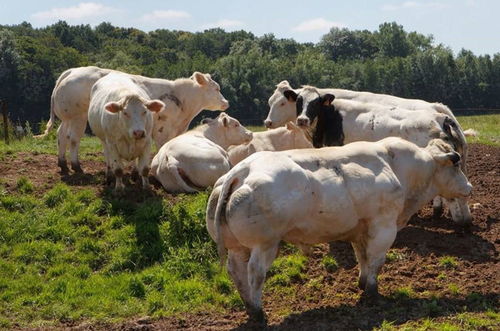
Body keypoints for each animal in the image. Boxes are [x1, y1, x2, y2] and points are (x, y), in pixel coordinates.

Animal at [36, 66, 229, 172]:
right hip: (78, 117)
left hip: (67, 118)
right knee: (73, 139)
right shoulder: (161, 130)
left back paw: (62, 164)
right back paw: (76, 166)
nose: (226, 102)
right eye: (217, 89)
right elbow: (160, 149)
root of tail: (72, 71)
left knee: (61, 136)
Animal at [207, 137, 472, 322]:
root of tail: (241, 170)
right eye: (456, 164)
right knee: (255, 273)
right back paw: (259, 312)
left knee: (236, 272)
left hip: (238, 247)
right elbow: (376, 260)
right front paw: (373, 293)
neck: (398, 168)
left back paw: (249, 306)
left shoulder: (360, 229)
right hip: (264, 245)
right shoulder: (384, 226)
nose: (469, 187)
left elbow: (362, 257)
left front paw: (363, 283)